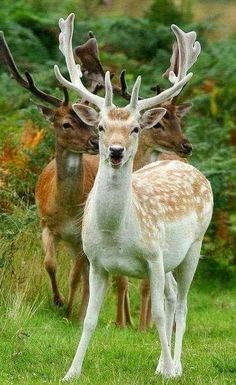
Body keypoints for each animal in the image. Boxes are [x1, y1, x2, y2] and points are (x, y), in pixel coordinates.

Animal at [54, 13, 213, 380]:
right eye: (100, 127)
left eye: (136, 128)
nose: (115, 151)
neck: (116, 234)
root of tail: (189, 167)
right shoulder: (97, 262)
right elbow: (89, 318)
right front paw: (71, 372)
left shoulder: (153, 257)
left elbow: (157, 315)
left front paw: (169, 370)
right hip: (170, 261)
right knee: (172, 298)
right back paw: (161, 363)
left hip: (192, 249)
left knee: (181, 304)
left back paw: (175, 366)